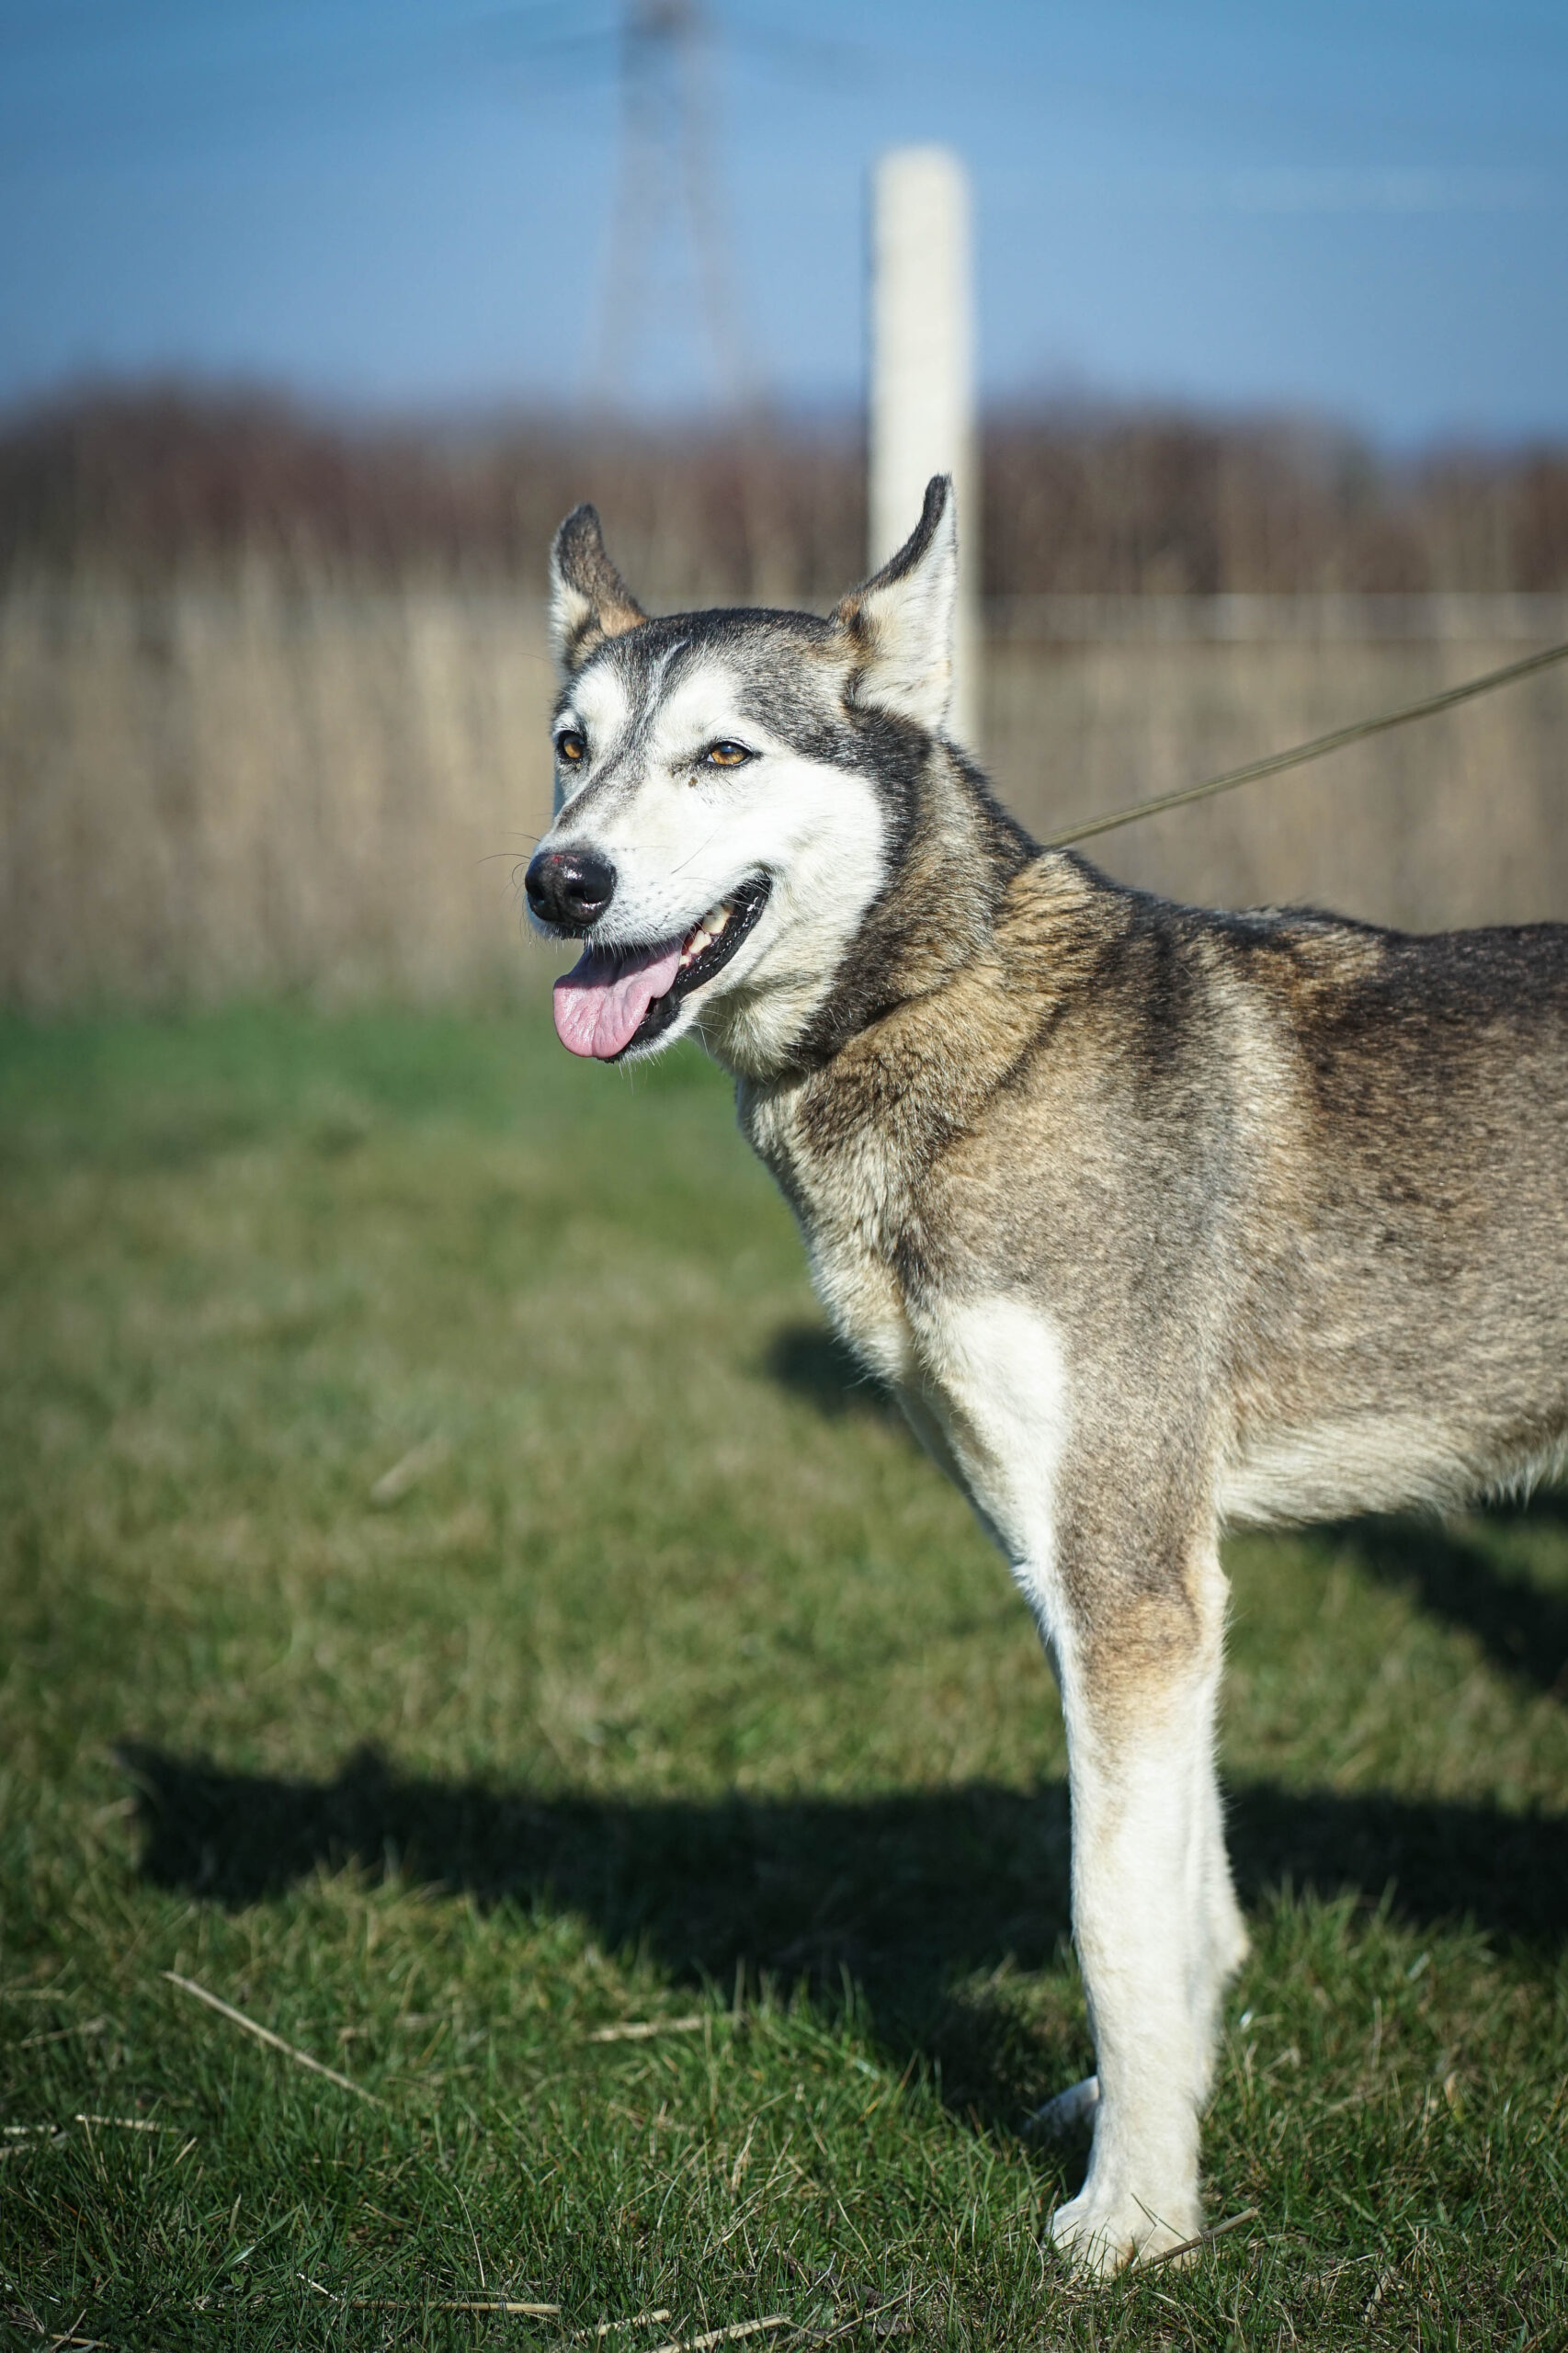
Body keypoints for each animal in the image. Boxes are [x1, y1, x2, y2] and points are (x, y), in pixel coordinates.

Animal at [524, 476, 1568, 2270]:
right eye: (571, 746)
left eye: (721, 754)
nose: (558, 882)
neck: (950, 1019)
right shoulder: (1087, 1569)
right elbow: (1190, 1914)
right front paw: (1148, 2126)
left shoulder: (1129, 1584)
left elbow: (1109, 1917)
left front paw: (1130, 2221)